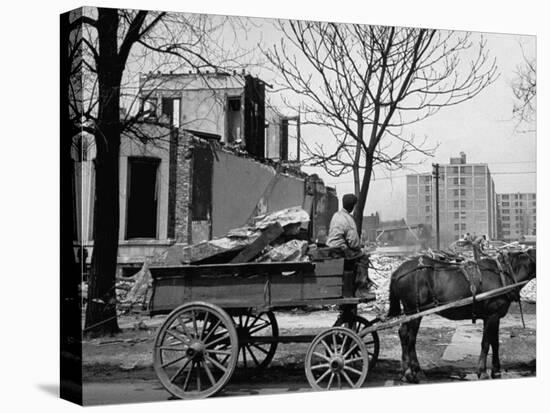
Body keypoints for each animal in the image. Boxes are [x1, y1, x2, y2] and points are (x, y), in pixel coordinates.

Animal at [388, 246, 540, 382]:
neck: (504, 274)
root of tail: (398, 271)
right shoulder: (491, 316)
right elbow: (486, 343)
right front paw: (482, 372)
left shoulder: (494, 316)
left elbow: (495, 343)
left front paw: (496, 371)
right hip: (415, 312)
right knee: (411, 339)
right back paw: (414, 373)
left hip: (410, 312)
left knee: (403, 333)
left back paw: (406, 371)